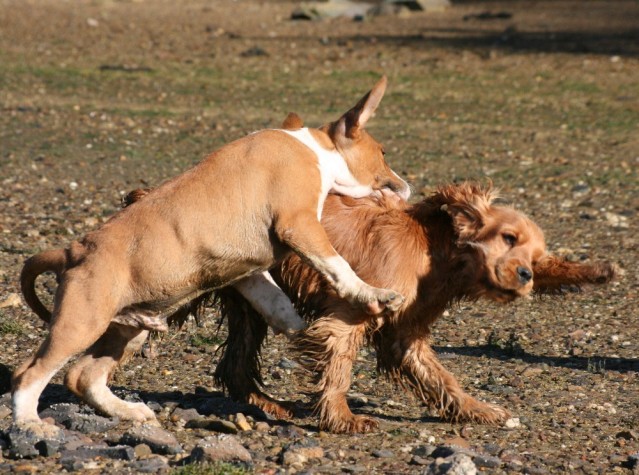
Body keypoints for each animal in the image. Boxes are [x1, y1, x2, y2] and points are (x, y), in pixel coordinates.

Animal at [12, 77, 410, 432]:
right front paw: (374, 294)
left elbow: (275, 301)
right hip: (80, 324)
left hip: (128, 329)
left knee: (83, 376)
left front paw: (300, 327)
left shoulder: (250, 272)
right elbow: (339, 266)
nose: (407, 187)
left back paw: (129, 412)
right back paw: (29, 422)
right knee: (28, 373)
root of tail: (71, 251)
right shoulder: (298, 224)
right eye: (384, 153)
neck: (313, 150)